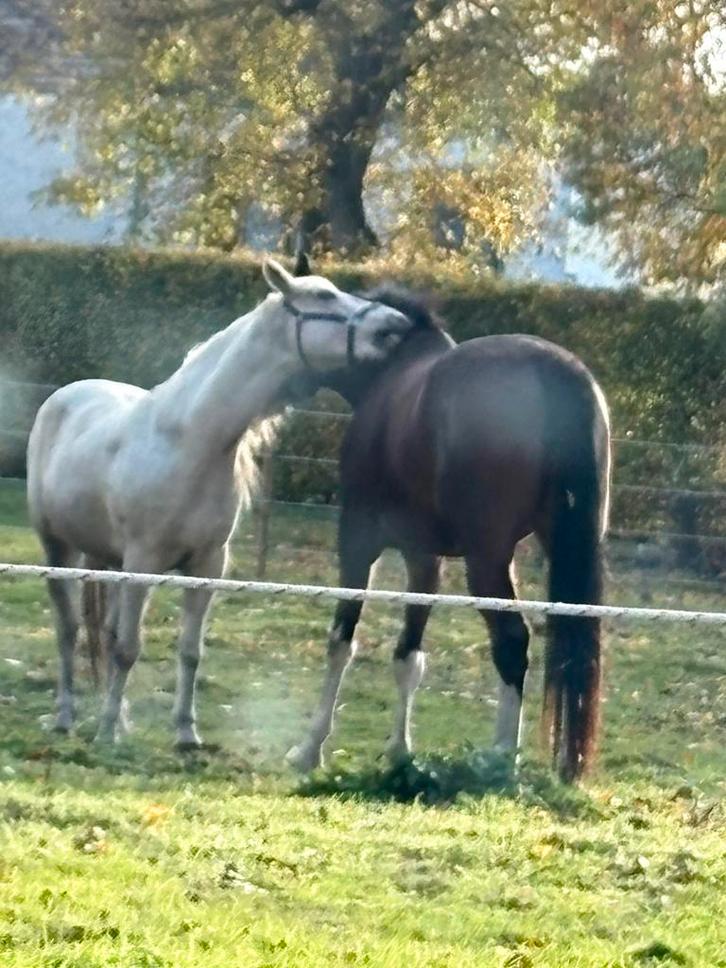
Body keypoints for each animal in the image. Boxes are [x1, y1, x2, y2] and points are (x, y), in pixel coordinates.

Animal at [26, 259, 411, 747]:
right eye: (323, 296)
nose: (396, 325)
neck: (189, 441)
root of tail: (65, 394)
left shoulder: (207, 566)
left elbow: (189, 651)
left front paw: (185, 734)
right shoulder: (143, 562)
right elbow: (128, 648)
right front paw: (108, 734)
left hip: (108, 559)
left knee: (103, 632)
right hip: (59, 548)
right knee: (68, 629)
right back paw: (66, 714)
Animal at [286, 280, 611, 782]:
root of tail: (557, 372)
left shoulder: (358, 542)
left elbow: (342, 641)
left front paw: (310, 748)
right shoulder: (425, 557)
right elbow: (408, 656)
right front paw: (400, 751)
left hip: (487, 561)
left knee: (512, 641)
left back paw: (500, 758)